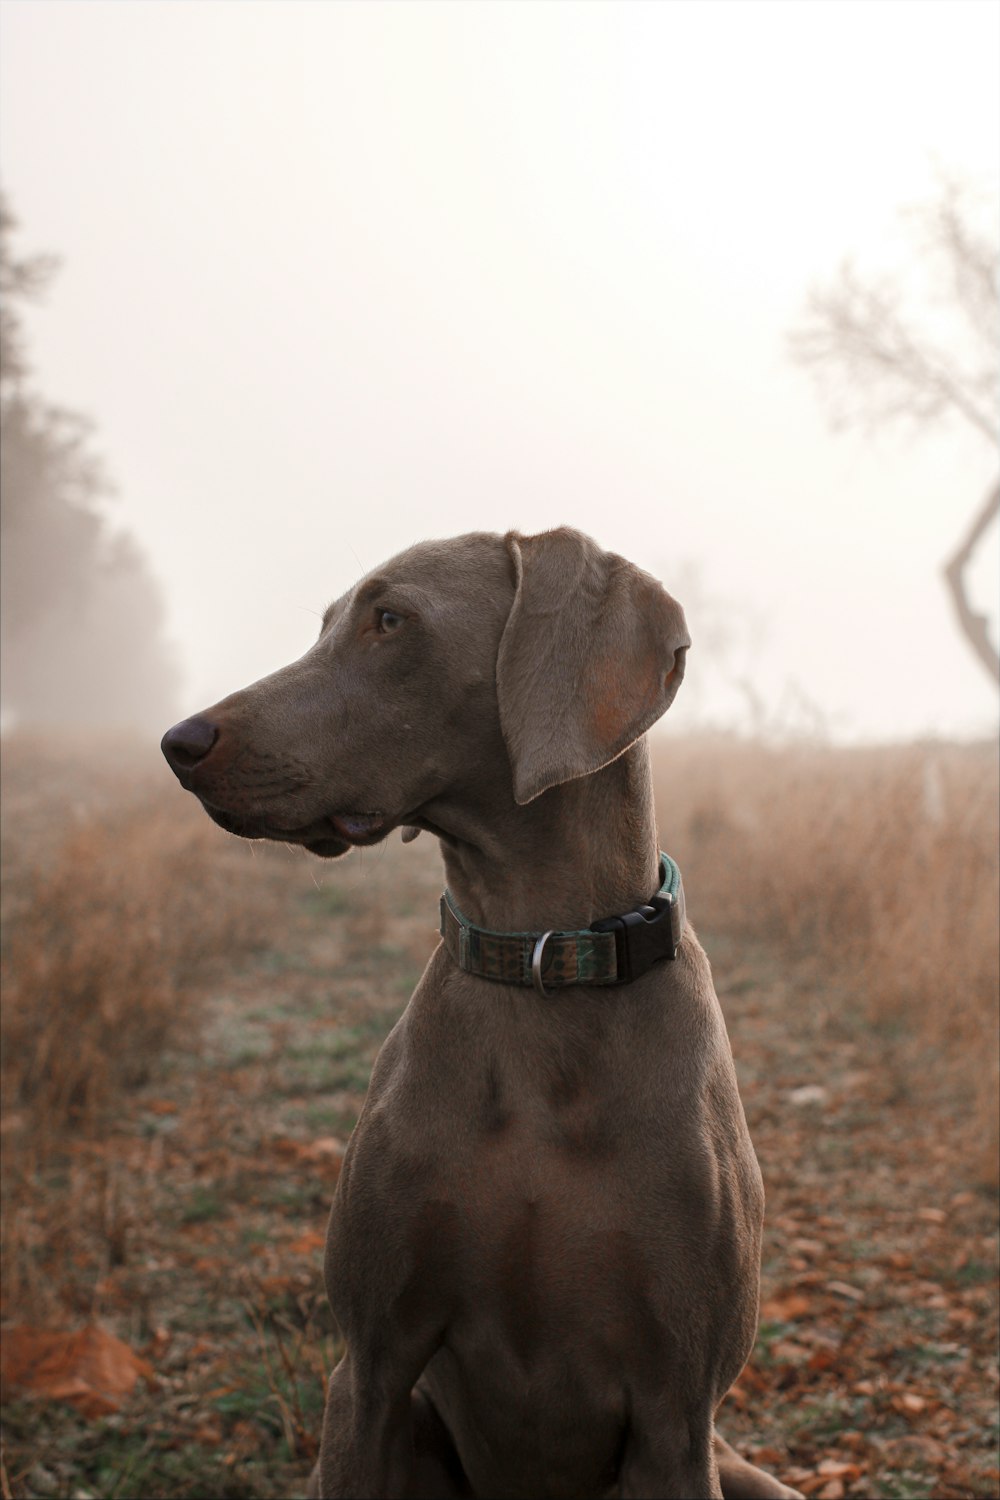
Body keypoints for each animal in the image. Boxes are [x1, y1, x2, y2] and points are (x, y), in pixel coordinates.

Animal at [164, 528, 803, 1500]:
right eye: (327, 622)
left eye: (391, 620)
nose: (179, 740)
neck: (542, 964)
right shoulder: (371, 1371)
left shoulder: (677, 1414)